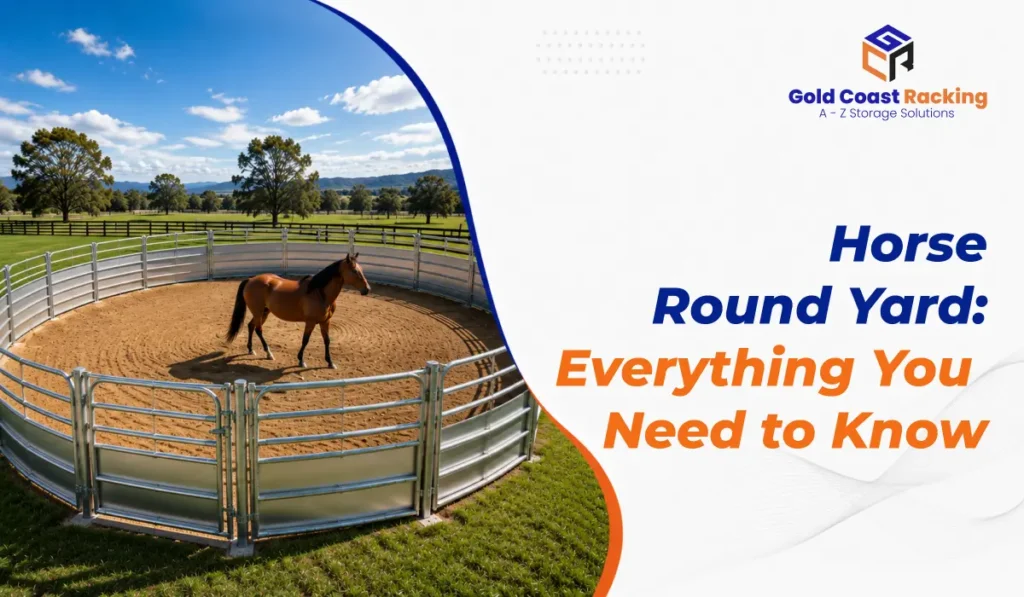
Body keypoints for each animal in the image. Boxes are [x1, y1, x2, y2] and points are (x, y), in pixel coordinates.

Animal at [225, 253, 371, 368]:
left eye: (361, 269)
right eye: (354, 271)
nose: (367, 289)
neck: (319, 293)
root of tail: (251, 279)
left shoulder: (325, 321)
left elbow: (327, 340)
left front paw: (330, 362)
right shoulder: (310, 322)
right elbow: (305, 340)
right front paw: (301, 360)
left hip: (264, 312)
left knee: (251, 326)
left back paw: (251, 349)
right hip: (258, 312)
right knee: (258, 330)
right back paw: (269, 353)